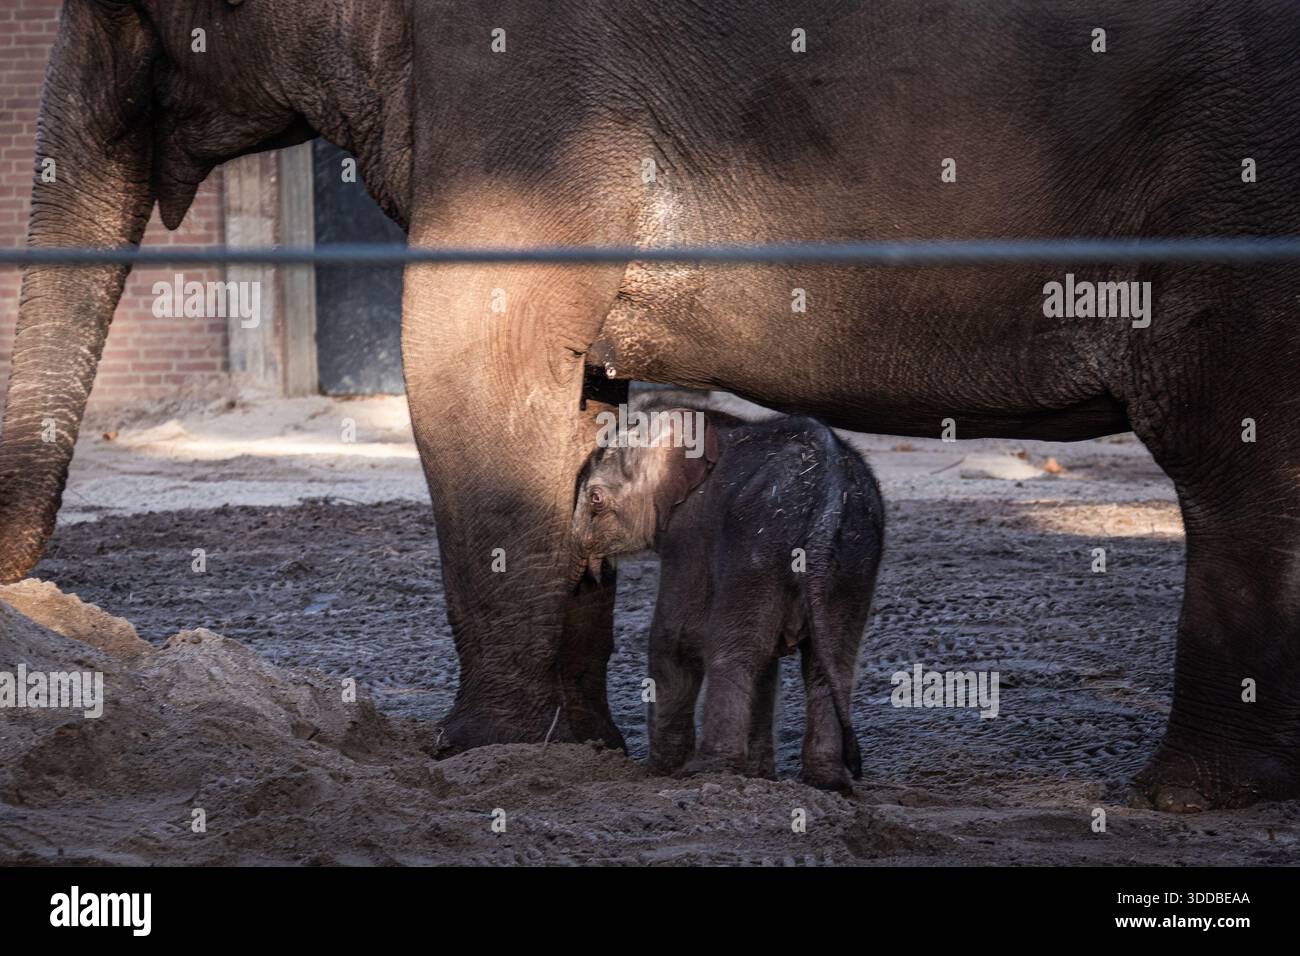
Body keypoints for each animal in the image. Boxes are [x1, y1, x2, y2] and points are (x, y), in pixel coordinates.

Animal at [571, 400, 885, 791]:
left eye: (595, 499)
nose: (594, 573)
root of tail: (829, 497)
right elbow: (767, 661)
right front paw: (760, 775)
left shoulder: (690, 532)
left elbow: (675, 638)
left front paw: (657, 771)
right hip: (852, 558)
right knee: (829, 663)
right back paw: (827, 783)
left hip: (758, 544)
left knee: (733, 651)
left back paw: (707, 770)